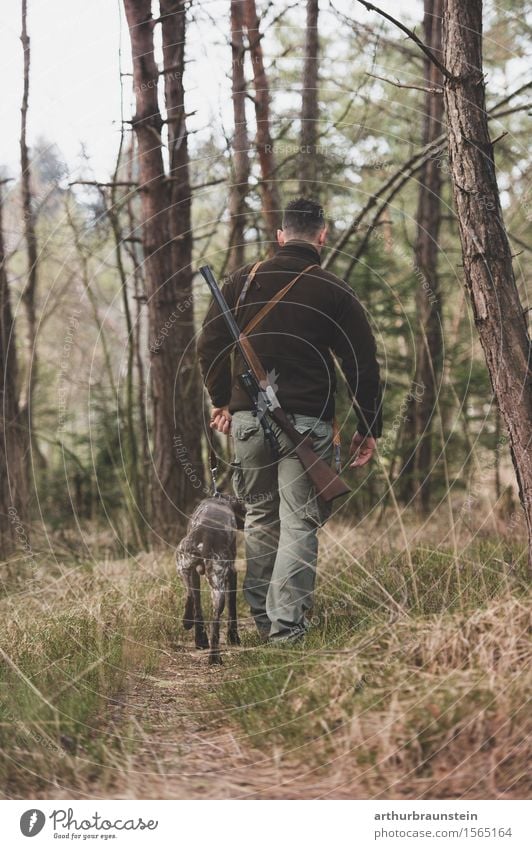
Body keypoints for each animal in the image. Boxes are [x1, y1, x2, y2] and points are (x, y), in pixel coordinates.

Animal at [178, 496, 246, 664]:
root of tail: (206, 536)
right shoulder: (233, 574)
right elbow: (232, 609)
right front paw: (233, 637)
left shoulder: (195, 574)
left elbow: (196, 603)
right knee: (213, 619)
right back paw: (214, 656)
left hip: (184, 568)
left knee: (192, 598)